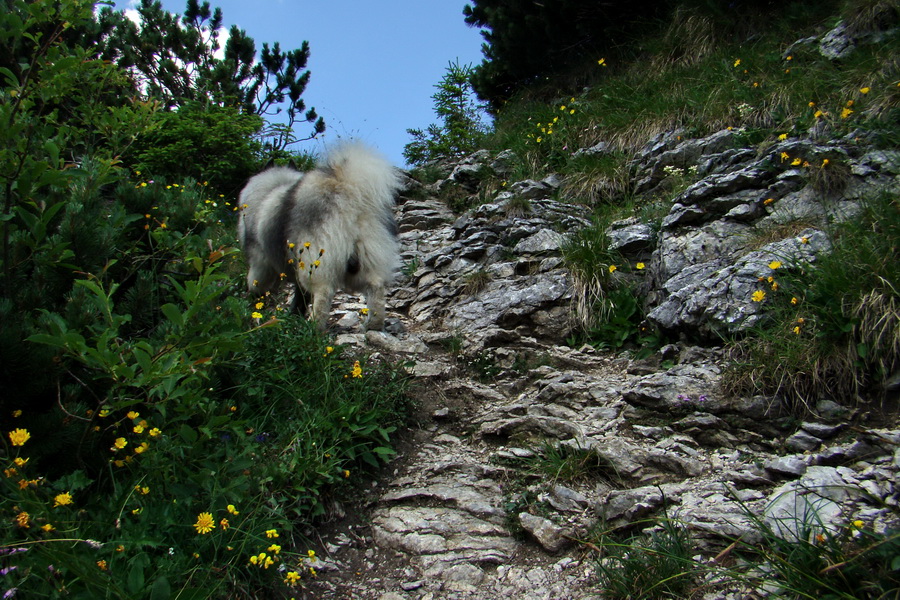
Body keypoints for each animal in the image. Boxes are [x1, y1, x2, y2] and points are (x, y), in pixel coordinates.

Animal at [237, 145, 400, 330]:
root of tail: (349, 193)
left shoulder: (260, 260)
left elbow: (256, 284)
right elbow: (301, 296)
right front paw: (294, 314)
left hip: (316, 259)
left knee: (324, 292)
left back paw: (314, 327)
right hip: (365, 256)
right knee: (376, 287)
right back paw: (373, 323)